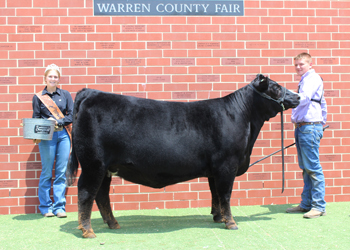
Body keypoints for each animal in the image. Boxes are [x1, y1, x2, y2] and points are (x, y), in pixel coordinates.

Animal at [67, 73, 300, 237]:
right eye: (276, 87)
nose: (298, 95)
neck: (243, 117)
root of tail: (90, 92)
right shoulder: (227, 165)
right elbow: (225, 194)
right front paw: (231, 222)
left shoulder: (214, 170)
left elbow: (215, 194)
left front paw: (218, 218)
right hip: (93, 164)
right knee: (86, 192)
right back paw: (87, 230)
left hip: (107, 167)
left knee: (102, 195)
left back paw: (113, 224)